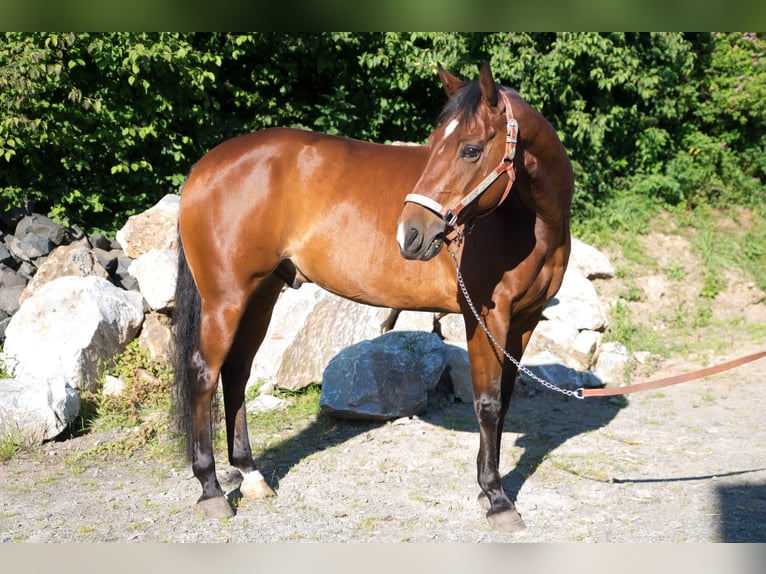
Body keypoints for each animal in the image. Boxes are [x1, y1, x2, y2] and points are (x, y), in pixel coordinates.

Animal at [172, 60, 568, 532]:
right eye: (434, 143)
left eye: (471, 150)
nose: (410, 233)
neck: (528, 221)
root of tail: (204, 166)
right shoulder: (486, 318)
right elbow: (488, 404)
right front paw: (496, 498)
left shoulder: (524, 321)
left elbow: (504, 401)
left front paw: (487, 488)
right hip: (225, 299)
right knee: (204, 373)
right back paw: (211, 489)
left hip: (261, 294)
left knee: (236, 372)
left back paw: (251, 475)